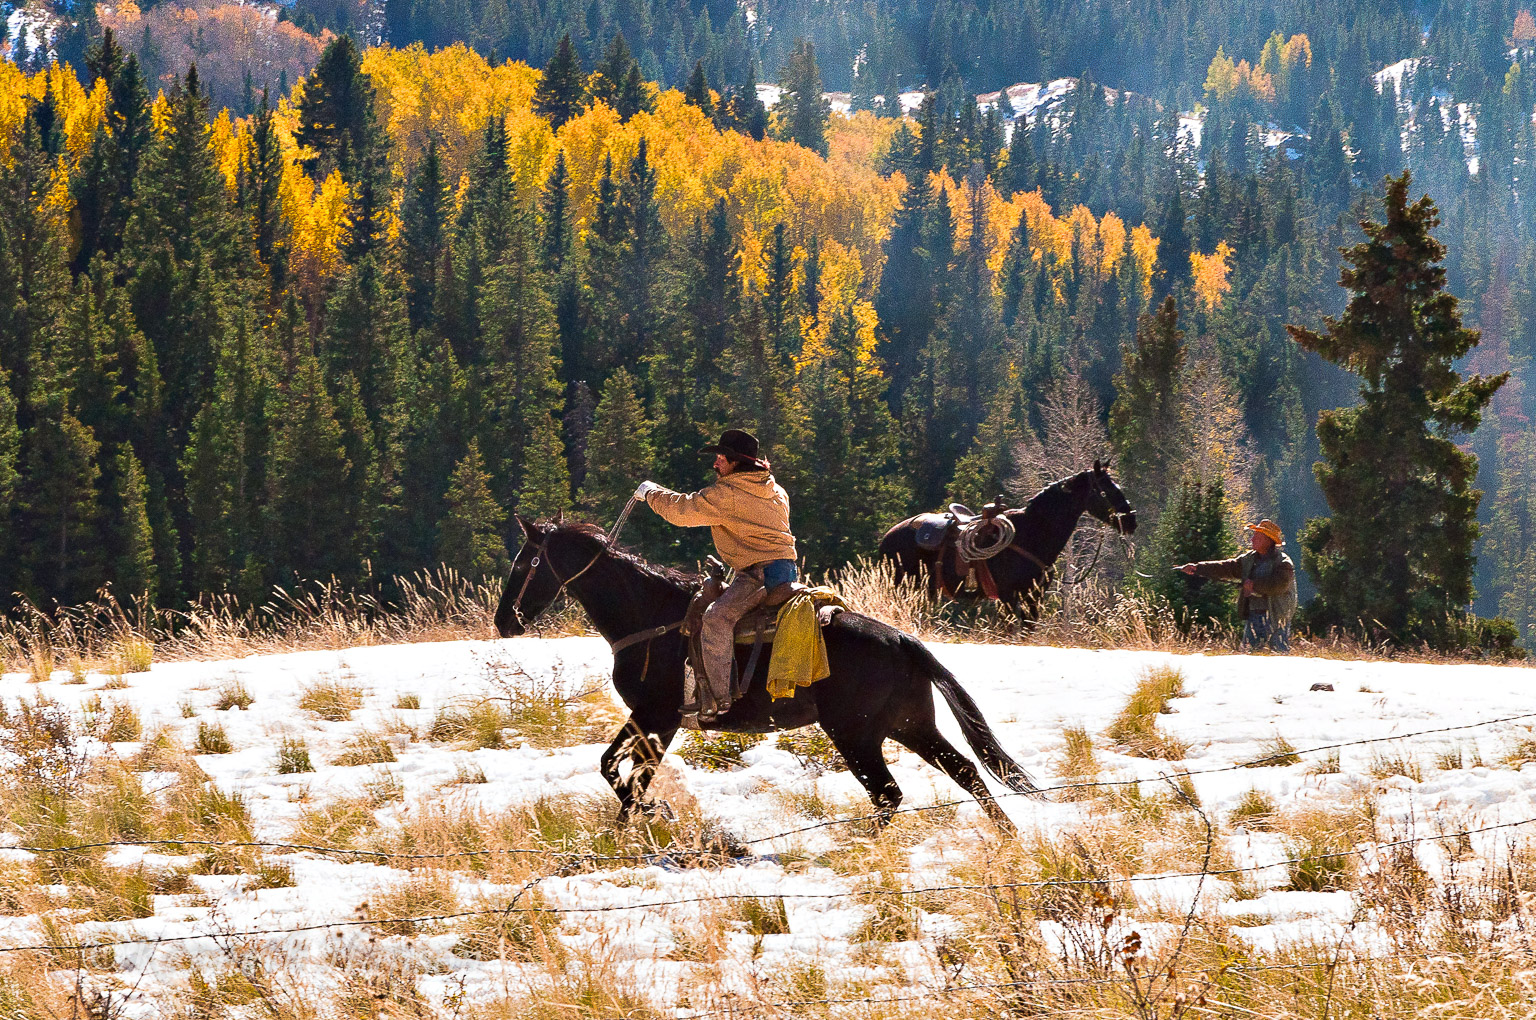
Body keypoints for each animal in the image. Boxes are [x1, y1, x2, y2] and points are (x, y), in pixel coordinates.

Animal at [497, 519, 1038, 829]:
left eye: (523, 563)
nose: (505, 622)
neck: (650, 615)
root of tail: (904, 640)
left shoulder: (656, 715)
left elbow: (624, 773)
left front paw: (641, 819)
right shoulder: (653, 719)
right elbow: (618, 769)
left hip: (856, 733)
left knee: (888, 794)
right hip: (910, 725)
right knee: (966, 772)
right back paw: (1007, 835)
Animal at [878, 463, 1142, 620]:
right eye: (1105, 491)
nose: (1131, 520)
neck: (1031, 534)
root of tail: (887, 538)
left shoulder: (1033, 598)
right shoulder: (1008, 597)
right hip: (902, 588)